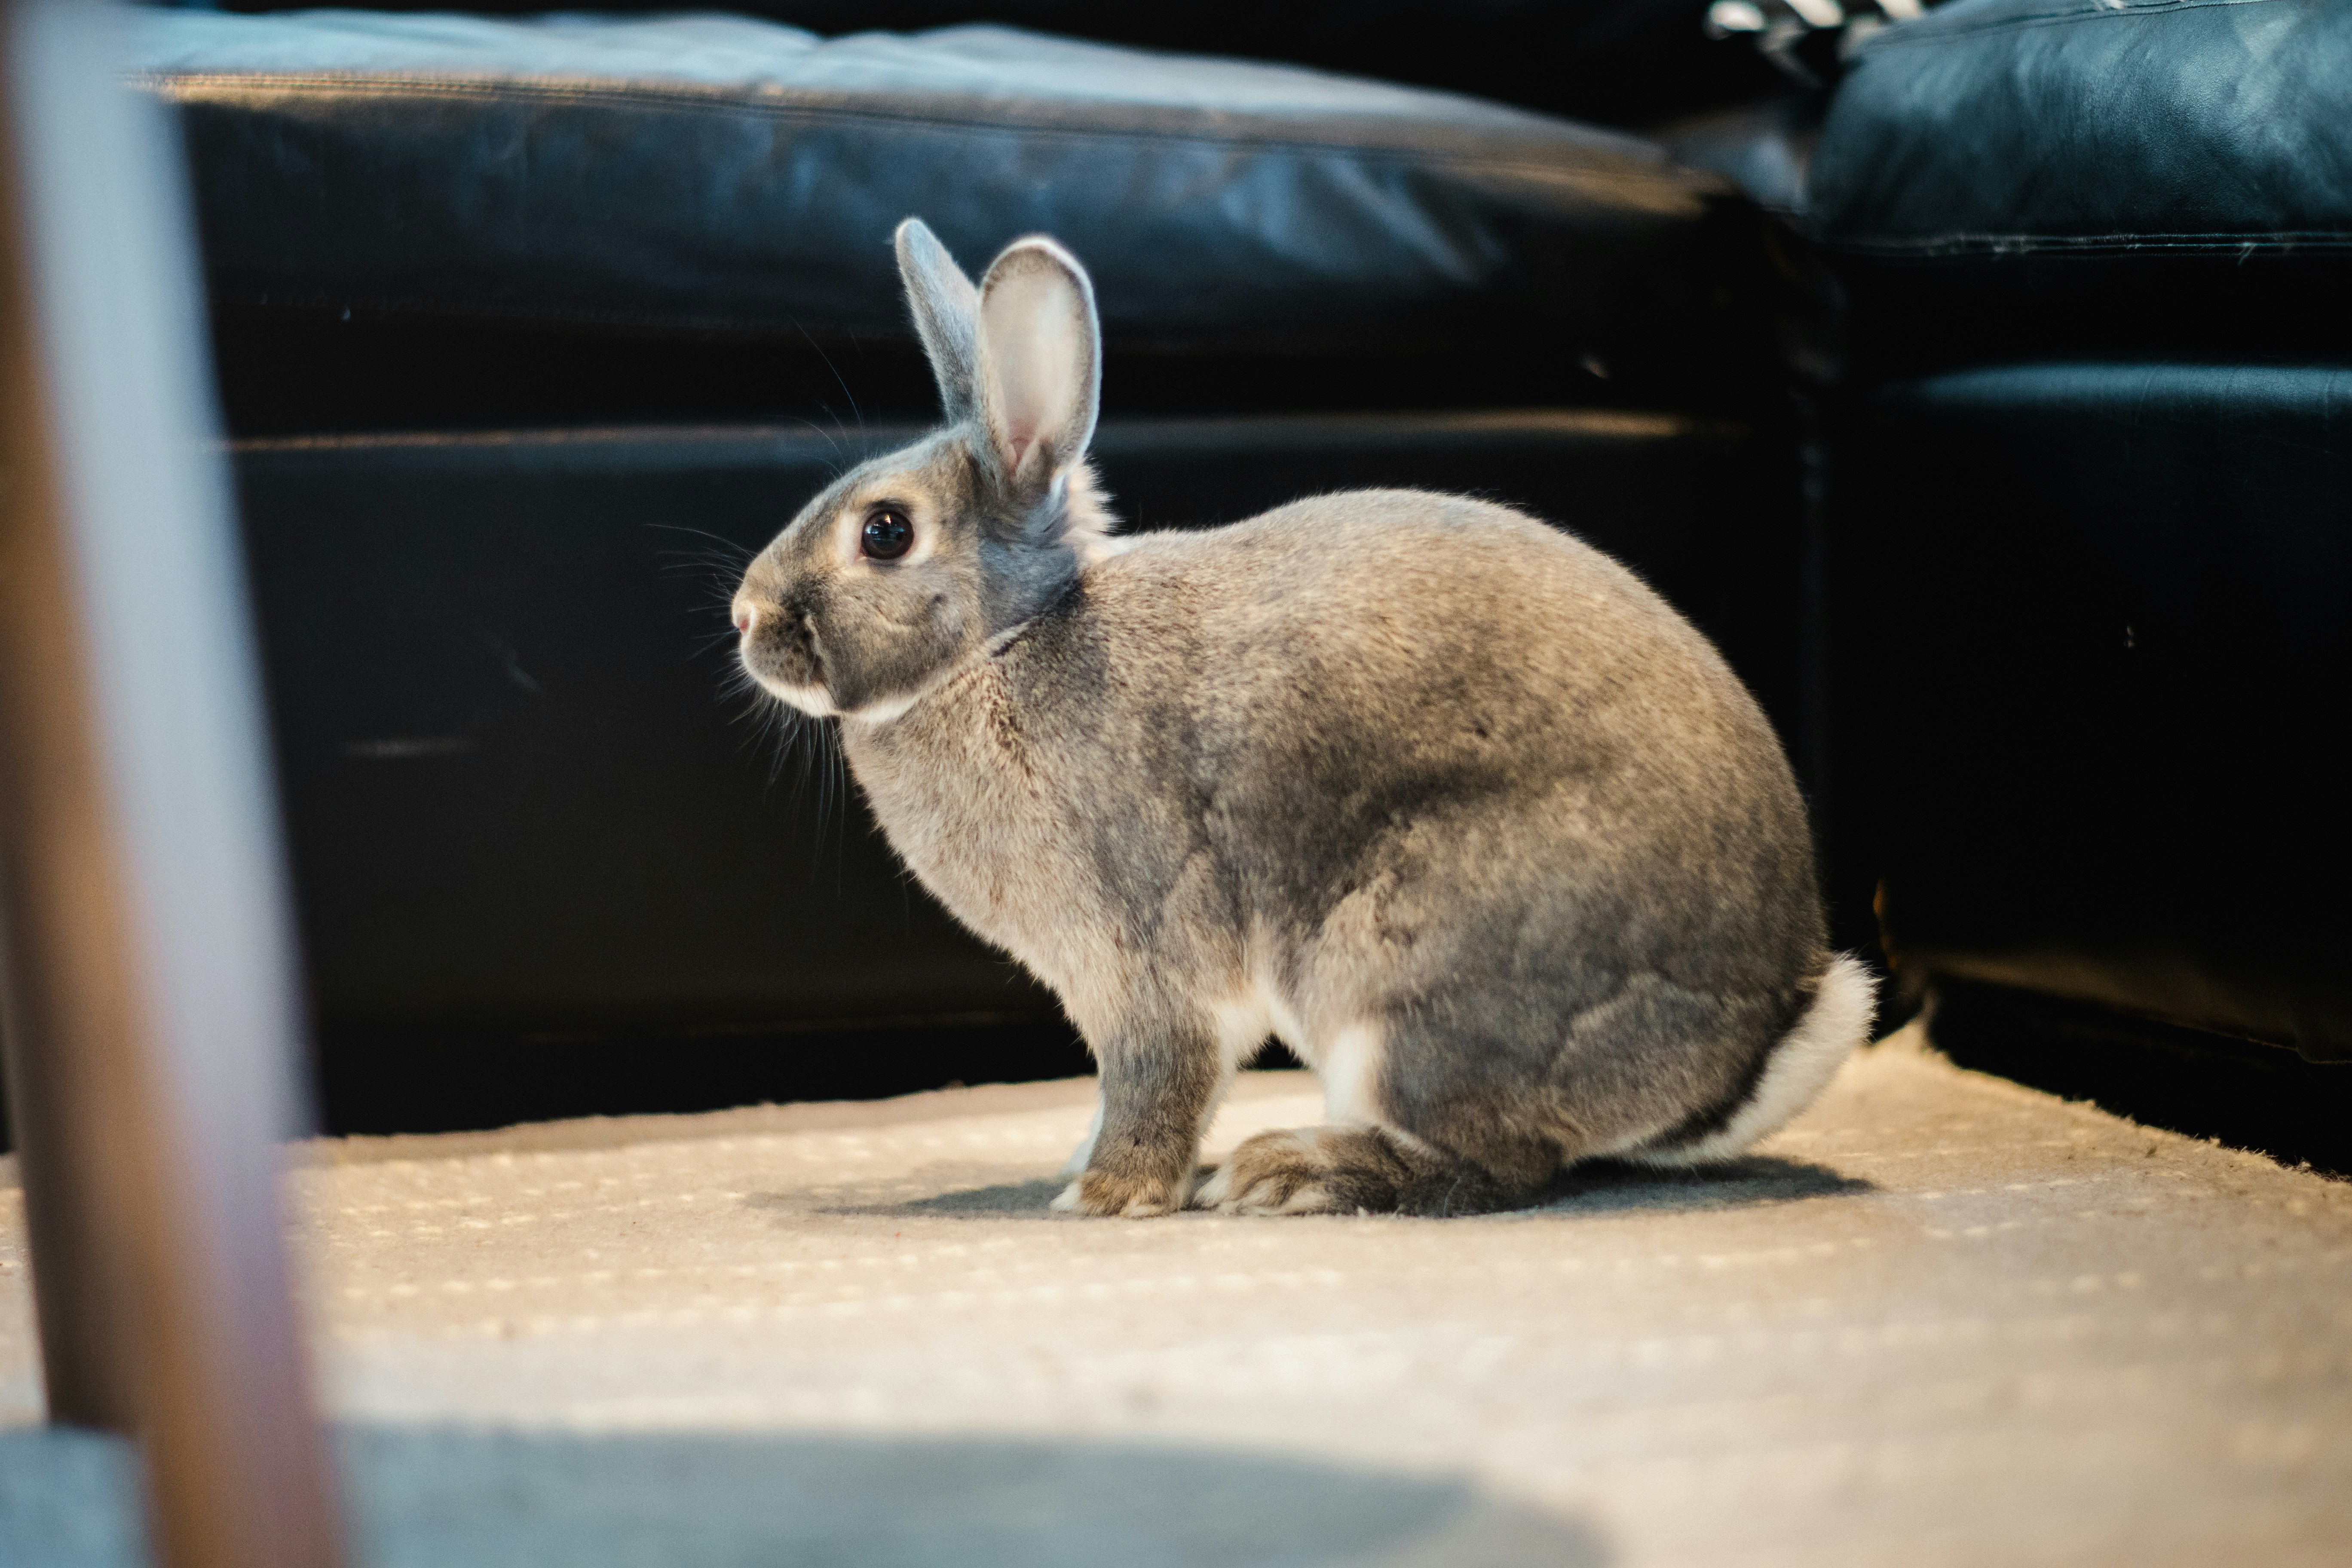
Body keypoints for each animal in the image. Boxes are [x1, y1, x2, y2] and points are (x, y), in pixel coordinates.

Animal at [731, 217, 1877, 1218]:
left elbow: (1158, 1076)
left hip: (1394, 975)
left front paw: (1107, 1195)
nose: (743, 616)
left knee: (1497, 1167)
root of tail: (1750, 1047)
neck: (1001, 647)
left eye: (884, 532)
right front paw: (1084, 1166)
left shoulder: (1144, 966)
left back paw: (1291, 1173)